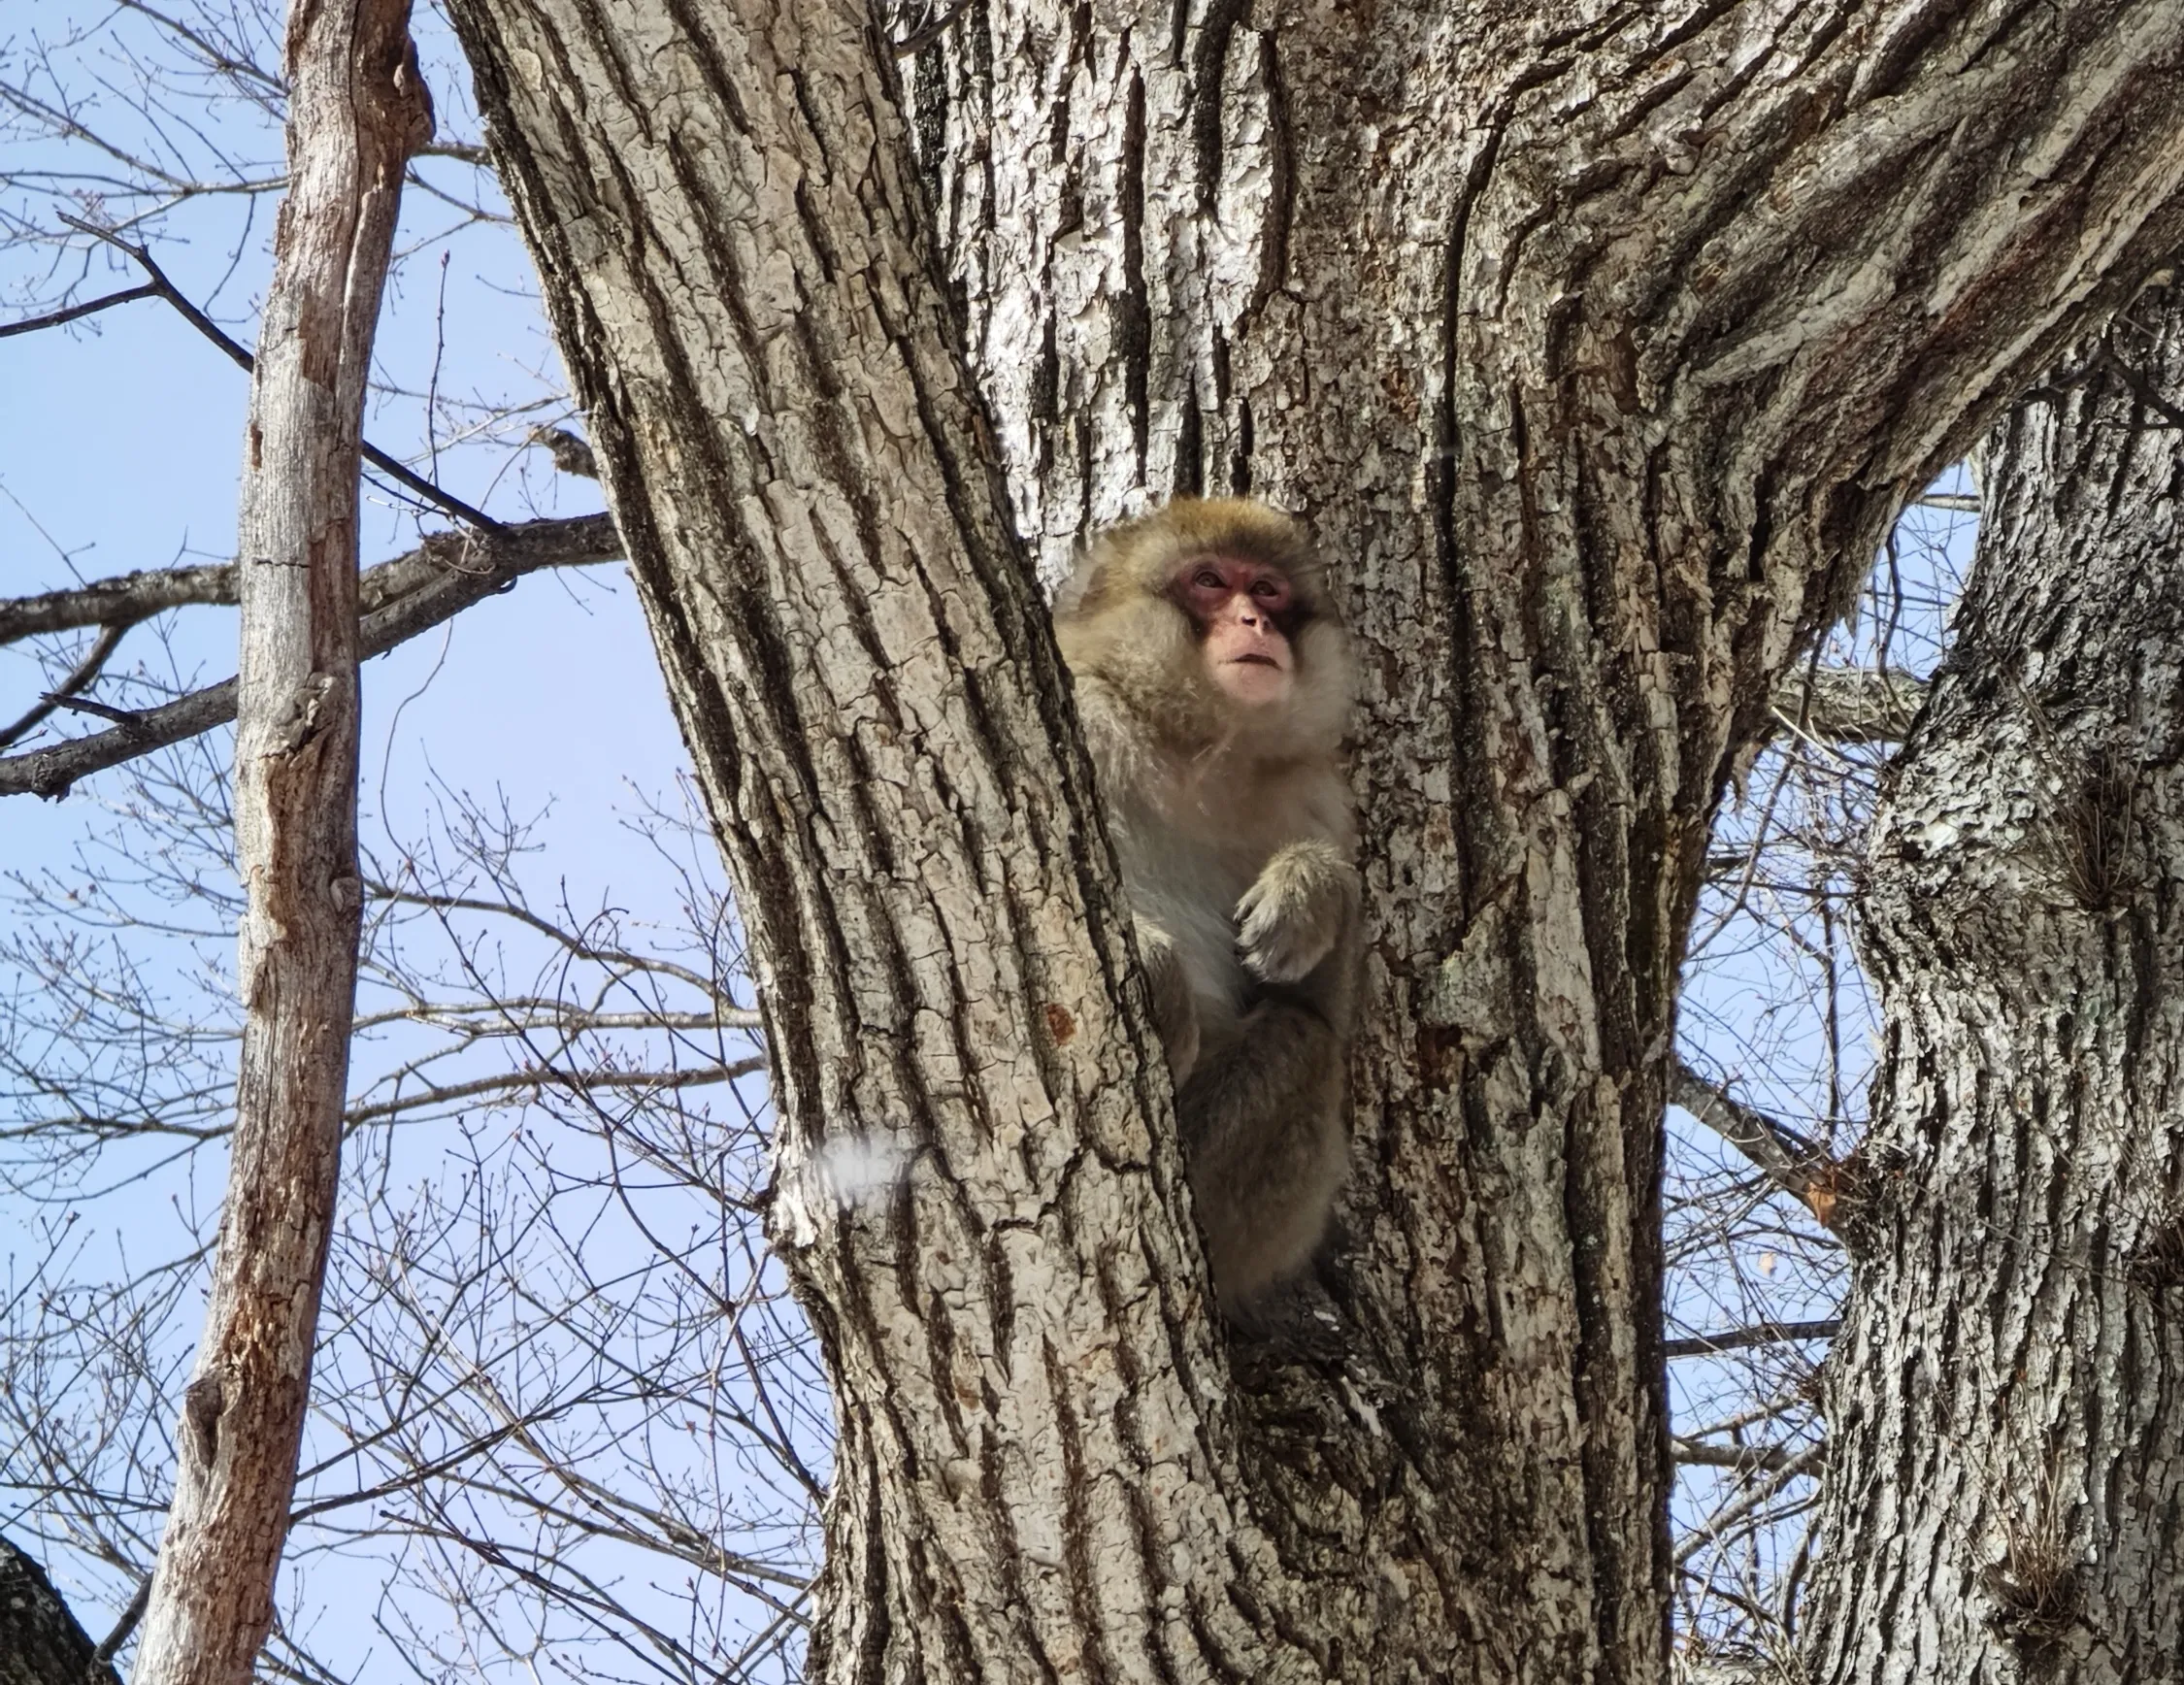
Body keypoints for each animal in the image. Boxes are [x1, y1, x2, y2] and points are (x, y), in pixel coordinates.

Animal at [1053, 498, 1361, 1311]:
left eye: (1270, 590)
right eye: (1211, 582)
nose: (1252, 621)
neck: (1194, 742)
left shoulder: (1314, 794)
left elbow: (1322, 1006)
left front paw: (1311, 893)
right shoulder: (1082, 707)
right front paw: (1155, 964)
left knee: (1302, 1037)